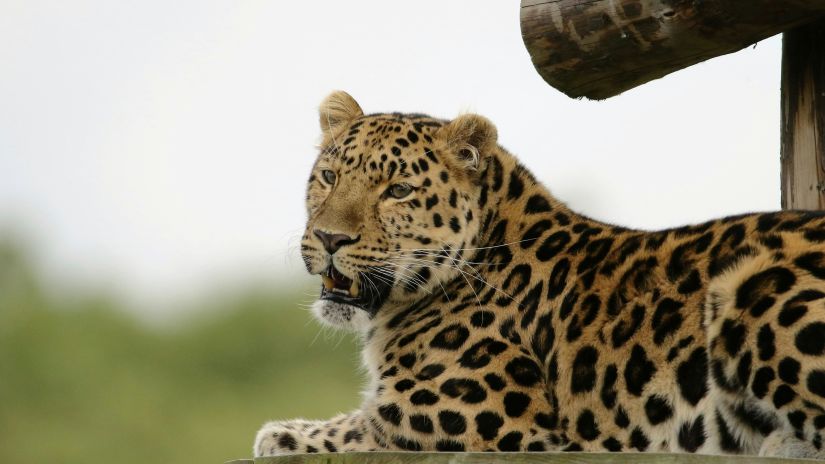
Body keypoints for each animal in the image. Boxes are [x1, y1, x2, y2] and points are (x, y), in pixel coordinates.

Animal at [253, 90, 825, 456]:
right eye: (329, 177)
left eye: (398, 191)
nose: (330, 238)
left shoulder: (471, 418)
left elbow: (357, 426)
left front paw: (280, 434)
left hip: (750, 286)